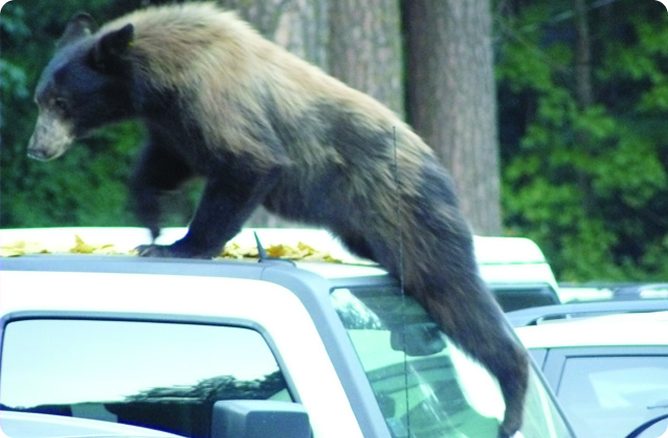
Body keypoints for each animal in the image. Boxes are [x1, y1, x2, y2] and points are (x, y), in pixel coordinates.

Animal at [27, 4, 528, 436]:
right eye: (39, 100)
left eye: (61, 102)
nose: (36, 148)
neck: (162, 74)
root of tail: (439, 167)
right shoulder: (174, 125)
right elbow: (162, 164)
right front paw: (150, 219)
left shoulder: (217, 101)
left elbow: (249, 165)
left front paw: (178, 245)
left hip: (405, 208)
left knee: (452, 288)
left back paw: (512, 396)